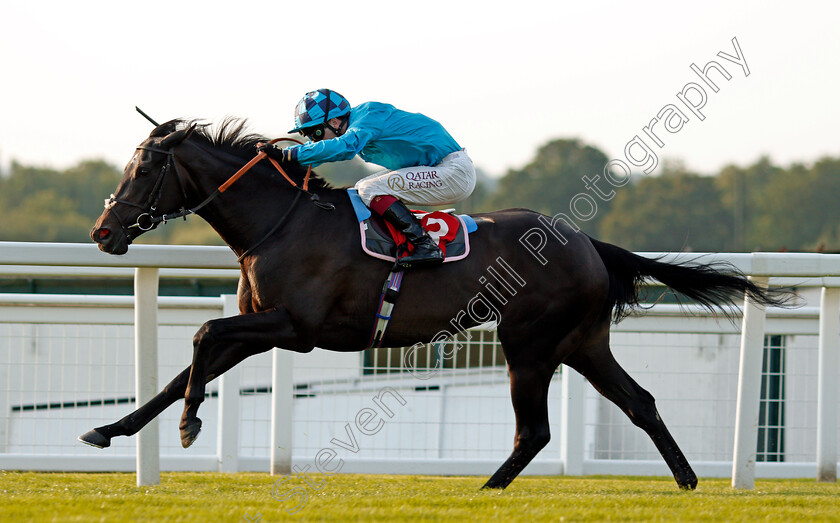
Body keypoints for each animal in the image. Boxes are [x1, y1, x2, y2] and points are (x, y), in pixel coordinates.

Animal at [83, 118, 788, 492]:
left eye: (142, 169)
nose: (103, 231)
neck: (281, 222)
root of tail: (587, 241)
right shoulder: (265, 327)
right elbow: (182, 370)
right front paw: (110, 429)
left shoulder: (291, 326)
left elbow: (202, 334)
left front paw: (188, 426)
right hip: (583, 342)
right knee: (639, 402)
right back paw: (688, 482)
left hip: (528, 342)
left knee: (536, 429)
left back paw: (487, 489)